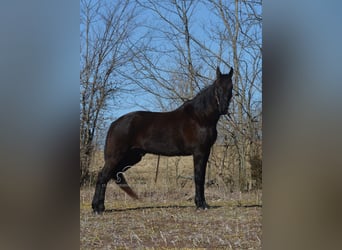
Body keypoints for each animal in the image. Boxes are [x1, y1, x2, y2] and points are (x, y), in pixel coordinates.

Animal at [92, 66, 234, 213]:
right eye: (217, 87)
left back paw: (98, 207)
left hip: (132, 157)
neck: (200, 117)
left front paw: (202, 203)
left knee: (109, 176)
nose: (224, 108)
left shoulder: (205, 152)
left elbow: (201, 177)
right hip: (116, 157)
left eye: (231, 87)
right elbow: (199, 177)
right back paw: (98, 208)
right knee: (102, 176)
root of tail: (115, 123)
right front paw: (201, 204)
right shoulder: (200, 152)